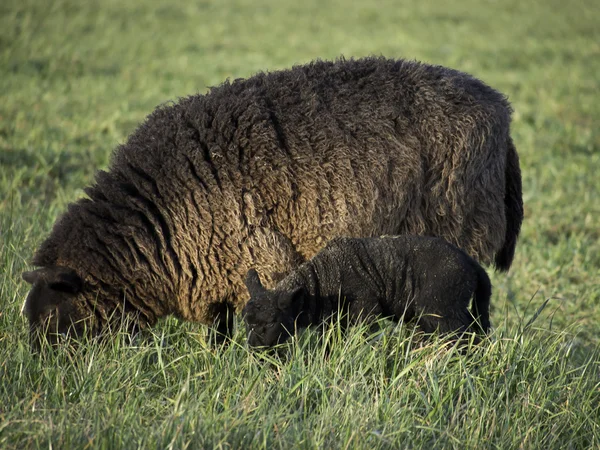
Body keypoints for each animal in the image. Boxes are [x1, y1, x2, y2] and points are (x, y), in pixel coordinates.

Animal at [21, 56, 524, 348]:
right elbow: (219, 334)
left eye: (50, 319)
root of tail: (502, 110)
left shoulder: (257, 256)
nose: (45, 377)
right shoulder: (215, 269)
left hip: (458, 229)